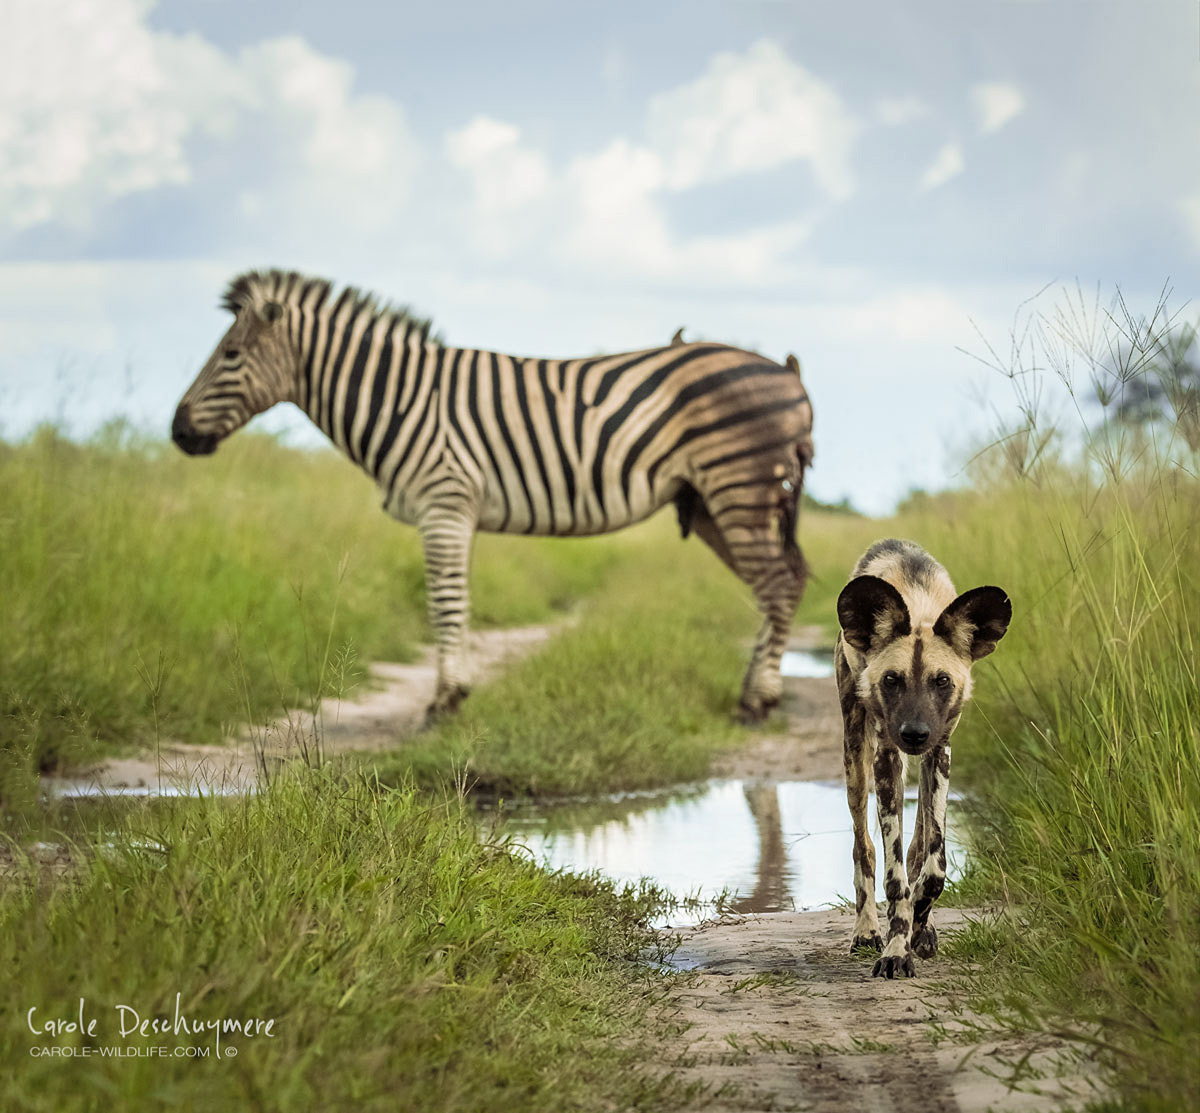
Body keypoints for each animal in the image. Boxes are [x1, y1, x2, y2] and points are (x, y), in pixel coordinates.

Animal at [174, 269, 816, 719]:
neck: (400, 400)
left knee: (778, 584)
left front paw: (444, 701)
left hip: (739, 485)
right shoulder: (458, 513)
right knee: (782, 581)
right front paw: (457, 692)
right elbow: (459, 600)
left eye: (230, 356)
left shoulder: (443, 503)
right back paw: (754, 690)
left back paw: (757, 702)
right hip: (711, 502)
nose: (178, 432)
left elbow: (444, 602)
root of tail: (788, 372)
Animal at [835, 537, 1012, 973]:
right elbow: (894, 876)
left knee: (917, 845)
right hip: (856, 758)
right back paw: (867, 930)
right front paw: (896, 949)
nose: (914, 733)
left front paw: (919, 924)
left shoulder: (941, 751)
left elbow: (934, 867)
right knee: (864, 847)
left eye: (941, 681)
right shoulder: (886, 758)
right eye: (892, 680)